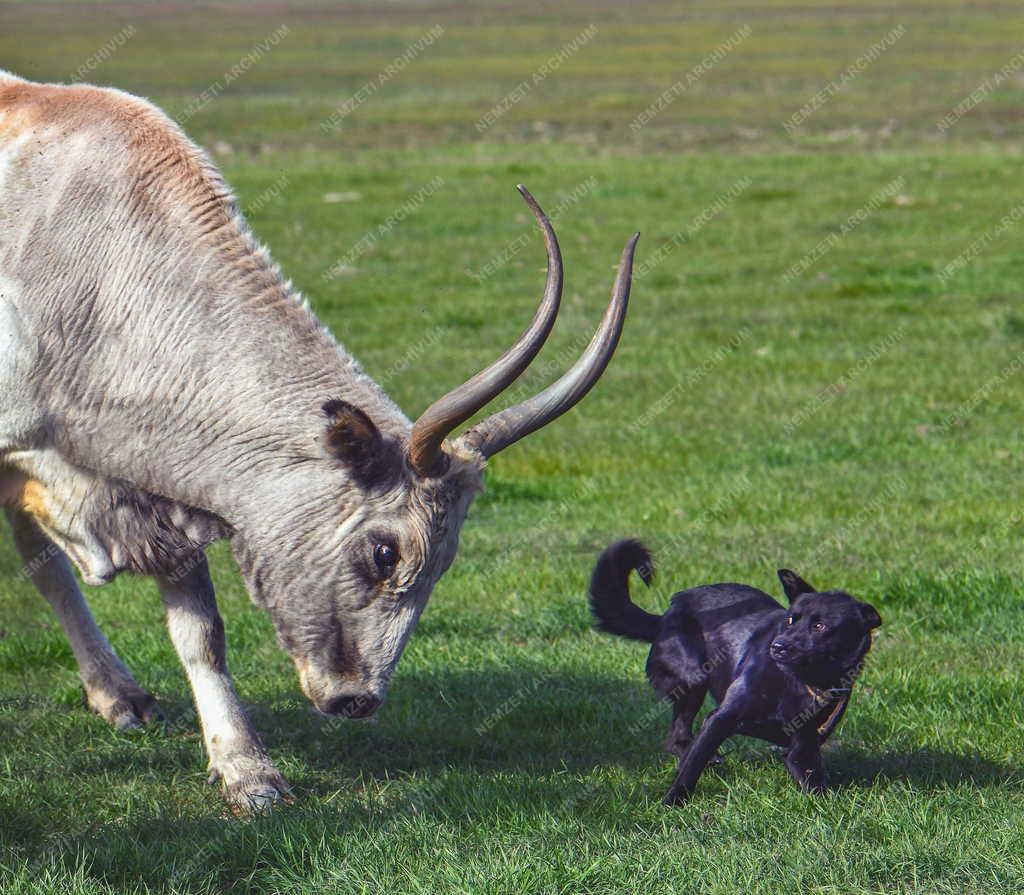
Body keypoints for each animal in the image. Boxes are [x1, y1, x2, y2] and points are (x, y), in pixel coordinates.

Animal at [0, 69, 634, 811]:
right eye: (385, 551)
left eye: (447, 560)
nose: (359, 699)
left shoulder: (164, 489)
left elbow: (200, 633)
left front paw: (248, 771)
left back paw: (116, 693)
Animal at [589, 536, 884, 802]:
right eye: (790, 620)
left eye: (820, 626)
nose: (778, 647)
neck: (802, 681)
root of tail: (666, 615)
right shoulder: (720, 719)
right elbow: (691, 767)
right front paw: (673, 801)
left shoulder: (804, 746)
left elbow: (814, 782)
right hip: (692, 678)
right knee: (679, 738)